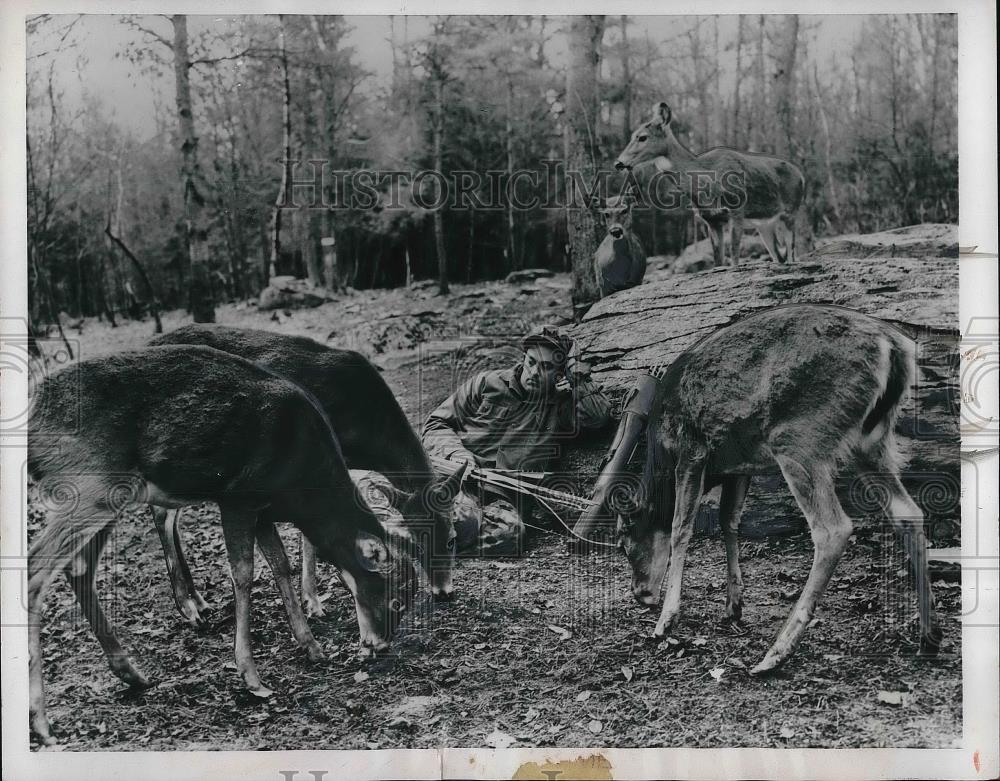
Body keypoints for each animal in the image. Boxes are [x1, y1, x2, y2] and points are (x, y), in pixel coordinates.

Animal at [24, 342, 422, 744]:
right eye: (395, 598)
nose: (378, 645)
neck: (301, 477)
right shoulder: (238, 496)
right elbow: (244, 573)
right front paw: (251, 676)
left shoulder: (264, 508)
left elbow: (280, 564)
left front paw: (311, 646)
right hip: (86, 484)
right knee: (34, 572)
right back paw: (41, 721)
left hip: (108, 495)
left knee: (79, 568)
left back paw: (131, 674)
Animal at [147, 322, 464, 620]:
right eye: (416, 545)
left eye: (451, 539)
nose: (443, 591)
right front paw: (313, 602)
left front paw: (312, 599)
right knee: (162, 513)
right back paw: (189, 607)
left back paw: (200, 601)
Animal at [576, 304, 940, 672]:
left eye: (623, 540)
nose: (640, 594)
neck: (660, 449)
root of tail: (894, 348)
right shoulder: (737, 467)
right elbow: (729, 521)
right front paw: (733, 606)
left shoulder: (692, 450)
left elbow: (681, 527)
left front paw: (666, 620)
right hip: (871, 442)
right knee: (908, 512)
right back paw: (929, 637)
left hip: (801, 437)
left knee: (833, 528)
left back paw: (776, 652)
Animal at [612, 102, 808, 266]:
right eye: (633, 135)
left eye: (642, 137)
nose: (618, 163)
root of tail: (801, 175)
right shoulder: (711, 219)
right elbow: (718, 260)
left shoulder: (737, 210)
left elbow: (734, 257)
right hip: (764, 225)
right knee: (779, 257)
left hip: (790, 212)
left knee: (792, 254)